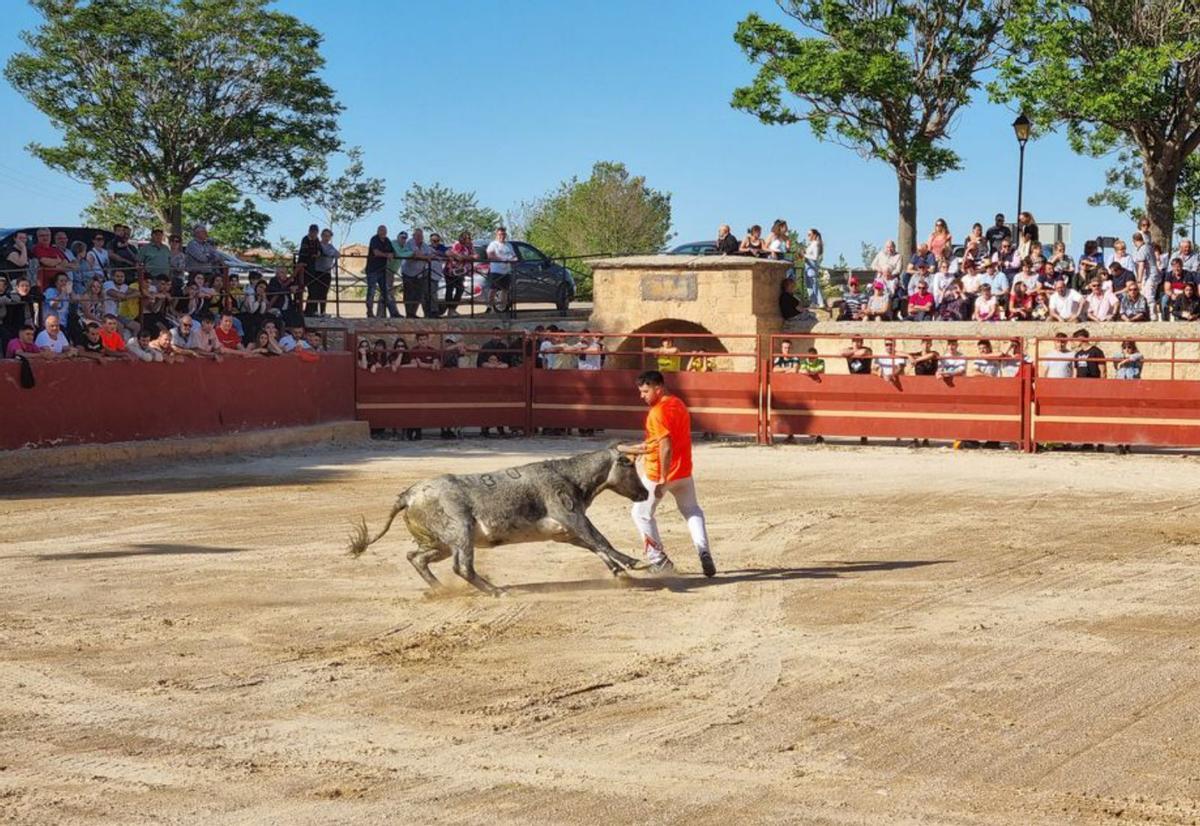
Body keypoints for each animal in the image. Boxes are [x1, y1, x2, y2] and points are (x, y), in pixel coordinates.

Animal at [348, 444, 648, 593]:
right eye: (631, 467)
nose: (645, 492)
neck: (567, 474)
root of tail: (407, 495)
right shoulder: (570, 515)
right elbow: (600, 539)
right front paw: (635, 564)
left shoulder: (563, 532)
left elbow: (596, 545)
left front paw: (621, 570)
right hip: (461, 532)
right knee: (462, 567)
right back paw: (495, 591)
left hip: (440, 543)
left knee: (417, 558)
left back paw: (440, 589)